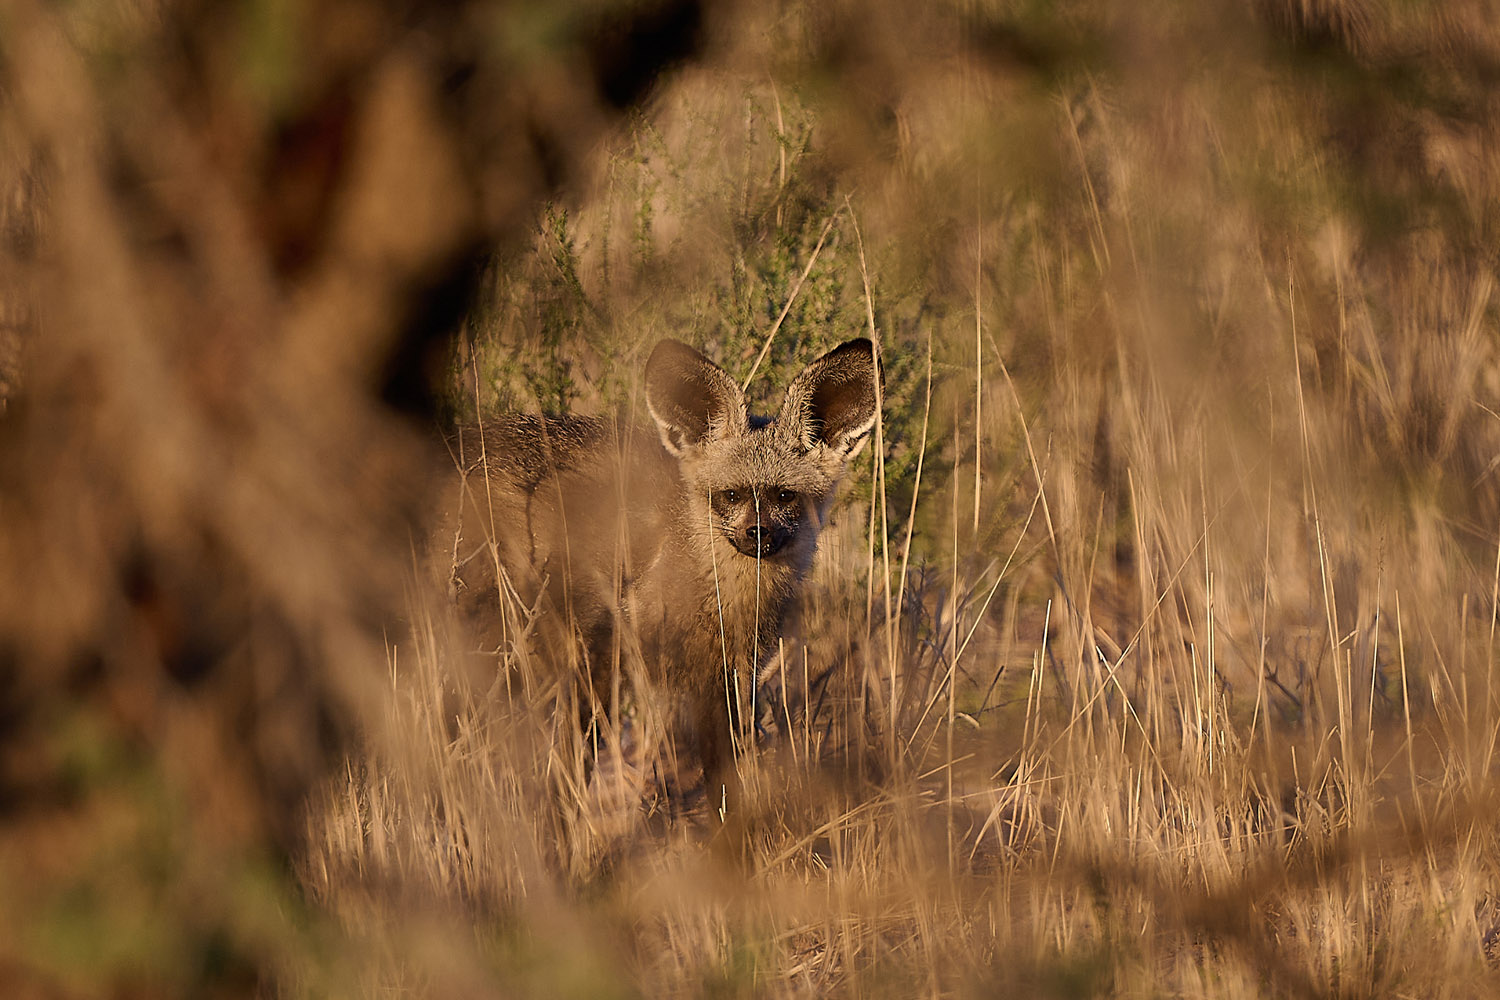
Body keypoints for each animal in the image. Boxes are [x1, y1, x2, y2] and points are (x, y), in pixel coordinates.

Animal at [446, 337, 881, 802]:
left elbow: (725, 787)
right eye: (731, 495)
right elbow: (571, 771)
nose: (757, 534)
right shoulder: (597, 659)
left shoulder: (724, 681)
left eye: (784, 496)